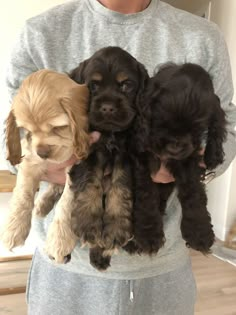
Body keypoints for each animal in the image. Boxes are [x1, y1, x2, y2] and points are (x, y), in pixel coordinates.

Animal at [1, 69, 89, 262]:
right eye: (28, 130)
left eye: (59, 127)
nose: (42, 152)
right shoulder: (29, 160)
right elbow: (23, 194)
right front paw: (13, 230)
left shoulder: (80, 167)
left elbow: (66, 202)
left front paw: (59, 240)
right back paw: (42, 204)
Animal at [54, 47, 148, 272]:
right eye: (93, 86)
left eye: (126, 85)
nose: (107, 107)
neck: (109, 134)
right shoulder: (87, 151)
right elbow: (90, 182)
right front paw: (89, 223)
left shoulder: (125, 155)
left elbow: (120, 187)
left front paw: (116, 229)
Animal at [126, 63, 228, 256]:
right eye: (161, 120)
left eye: (197, 128)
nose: (175, 147)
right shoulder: (141, 155)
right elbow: (146, 192)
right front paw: (148, 234)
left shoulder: (189, 158)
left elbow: (193, 192)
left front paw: (199, 233)